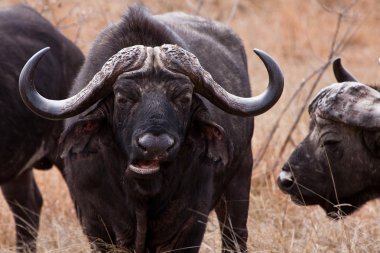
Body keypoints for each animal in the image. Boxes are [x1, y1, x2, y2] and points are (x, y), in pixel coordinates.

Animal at [19, 5, 284, 253]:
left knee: (234, 236)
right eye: (123, 98)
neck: (141, 195)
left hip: (240, 180)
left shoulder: (189, 225)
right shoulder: (94, 224)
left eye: (184, 98)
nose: (155, 147)